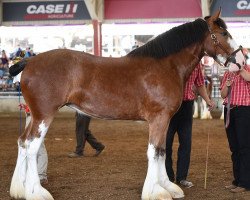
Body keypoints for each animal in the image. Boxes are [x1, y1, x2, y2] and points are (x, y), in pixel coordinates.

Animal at [8, 9, 245, 200]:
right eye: (224, 33)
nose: (241, 61)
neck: (166, 66)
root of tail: (30, 61)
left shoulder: (165, 120)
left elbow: (162, 150)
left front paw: (169, 187)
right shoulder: (158, 118)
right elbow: (154, 152)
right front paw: (156, 192)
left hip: (34, 116)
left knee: (22, 142)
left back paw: (19, 190)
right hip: (44, 116)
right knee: (31, 146)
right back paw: (36, 193)